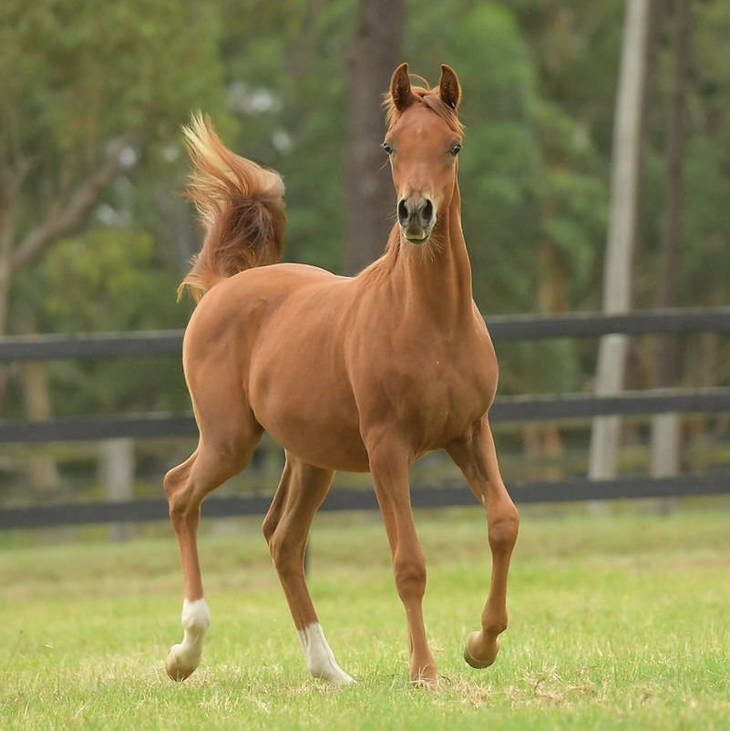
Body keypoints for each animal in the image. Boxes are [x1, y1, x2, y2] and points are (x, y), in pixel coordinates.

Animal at [163, 63, 519, 687]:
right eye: (390, 146)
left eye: (453, 145)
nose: (416, 213)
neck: (432, 323)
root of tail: (226, 286)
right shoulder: (387, 448)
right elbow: (409, 563)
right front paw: (425, 672)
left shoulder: (470, 432)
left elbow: (503, 521)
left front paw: (481, 645)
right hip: (230, 440)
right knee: (180, 492)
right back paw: (186, 651)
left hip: (312, 459)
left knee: (282, 539)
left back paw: (329, 671)